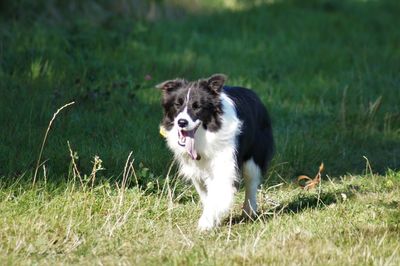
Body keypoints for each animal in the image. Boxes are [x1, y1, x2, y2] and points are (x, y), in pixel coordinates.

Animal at [158, 74, 274, 230]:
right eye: (177, 104)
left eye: (197, 107)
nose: (181, 122)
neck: (204, 134)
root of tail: (254, 94)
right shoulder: (195, 168)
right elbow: (206, 195)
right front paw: (211, 220)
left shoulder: (225, 162)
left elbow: (218, 191)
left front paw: (205, 224)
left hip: (254, 154)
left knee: (251, 181)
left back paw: (249, 212)